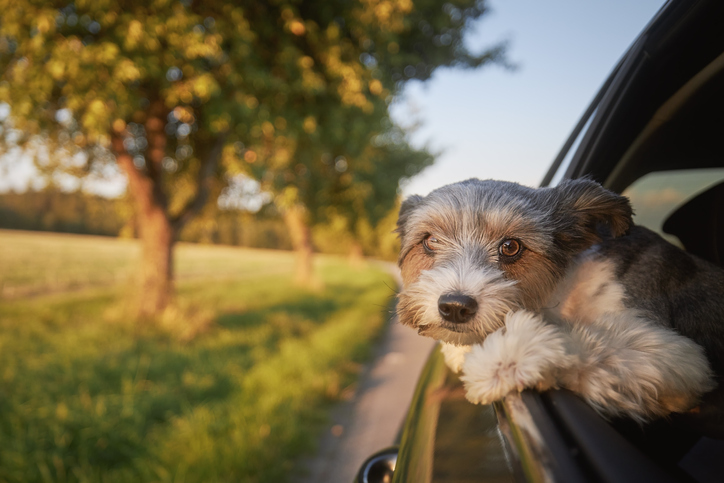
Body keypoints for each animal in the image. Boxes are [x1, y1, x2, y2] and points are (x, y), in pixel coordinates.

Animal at [396, 179, 724, 424]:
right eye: (430, 241)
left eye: (511, 246)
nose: (454, 306)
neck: (564, 288)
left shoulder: (676, 358)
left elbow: (594, 341)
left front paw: (508, 357)